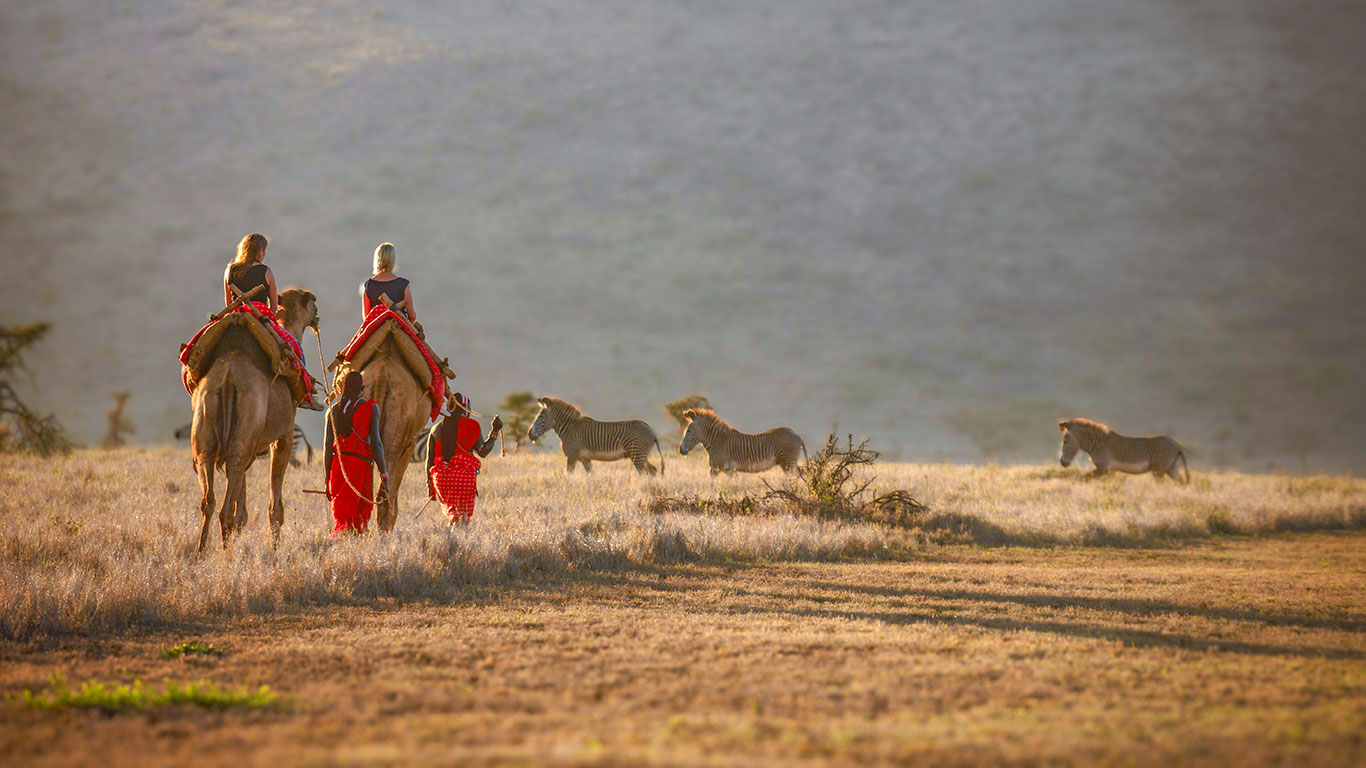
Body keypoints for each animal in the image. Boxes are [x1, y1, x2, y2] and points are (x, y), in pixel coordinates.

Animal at [189, 289, 319, 552]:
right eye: (311, 301)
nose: (317, 312)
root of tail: (228, 379)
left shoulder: (249, 446)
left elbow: (242, 504)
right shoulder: (283, 435)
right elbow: (275, 504)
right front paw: (275, 548)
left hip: (208, 433)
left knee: (209, 498)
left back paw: (201, 552)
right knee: (225, 507)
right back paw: (226, 555)